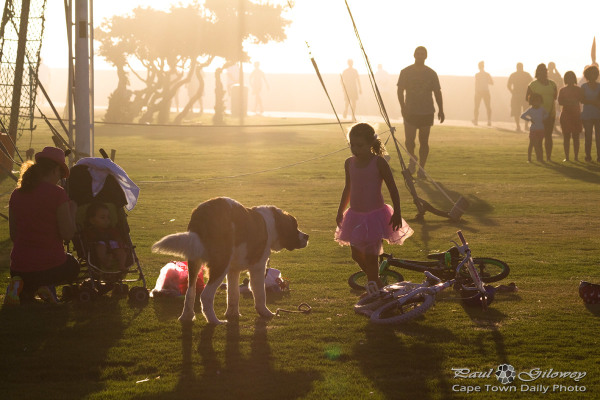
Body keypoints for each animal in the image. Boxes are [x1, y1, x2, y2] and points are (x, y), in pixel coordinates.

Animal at [150, 197, 310, 324]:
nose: (307, 236)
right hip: (220, 264)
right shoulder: (257, 267)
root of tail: (202, 212)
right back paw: (214, 321)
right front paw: (265, 312)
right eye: (295, 226)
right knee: (205, 295)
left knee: (190, 292)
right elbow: (259, 293)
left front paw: (233, 314)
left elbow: (233, 293)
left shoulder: (233, 270)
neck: (271, 225)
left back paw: (186, 317)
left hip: (195, 261)